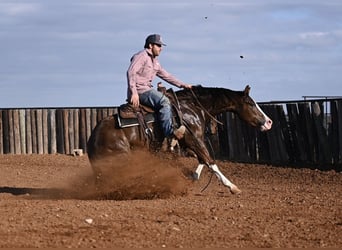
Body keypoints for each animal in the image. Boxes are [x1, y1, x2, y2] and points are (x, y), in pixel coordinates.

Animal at [87, 85, 272, 194]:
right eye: (250, 103)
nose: (269, 122)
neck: (192, 107)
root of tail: (92, 139)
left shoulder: (189, 143)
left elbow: (201, 160)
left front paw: (193, 176)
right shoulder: (194, 138)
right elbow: (209, 160)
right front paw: (232, 187)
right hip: (121, 158)